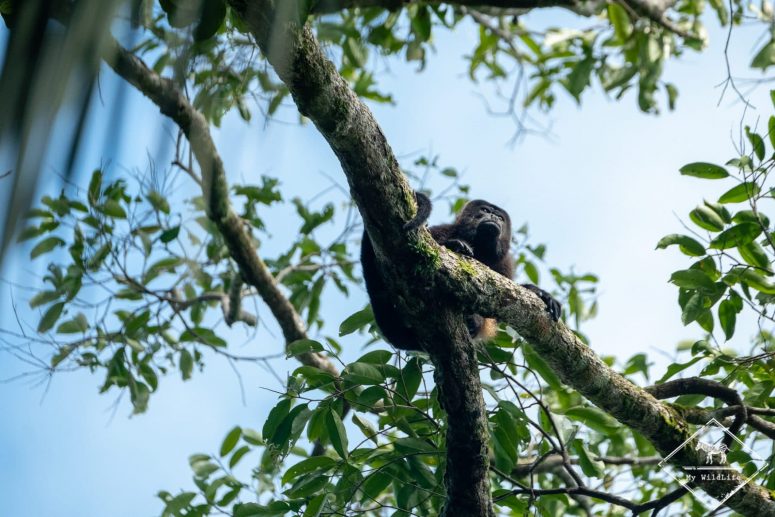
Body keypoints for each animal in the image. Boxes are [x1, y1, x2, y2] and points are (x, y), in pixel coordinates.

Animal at [360, 192, 561, 351]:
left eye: (500, 217)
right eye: (485, 210)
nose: (493, 217)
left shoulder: (506, 263)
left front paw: (540, 294)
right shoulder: (443, 230)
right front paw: (455, 245)